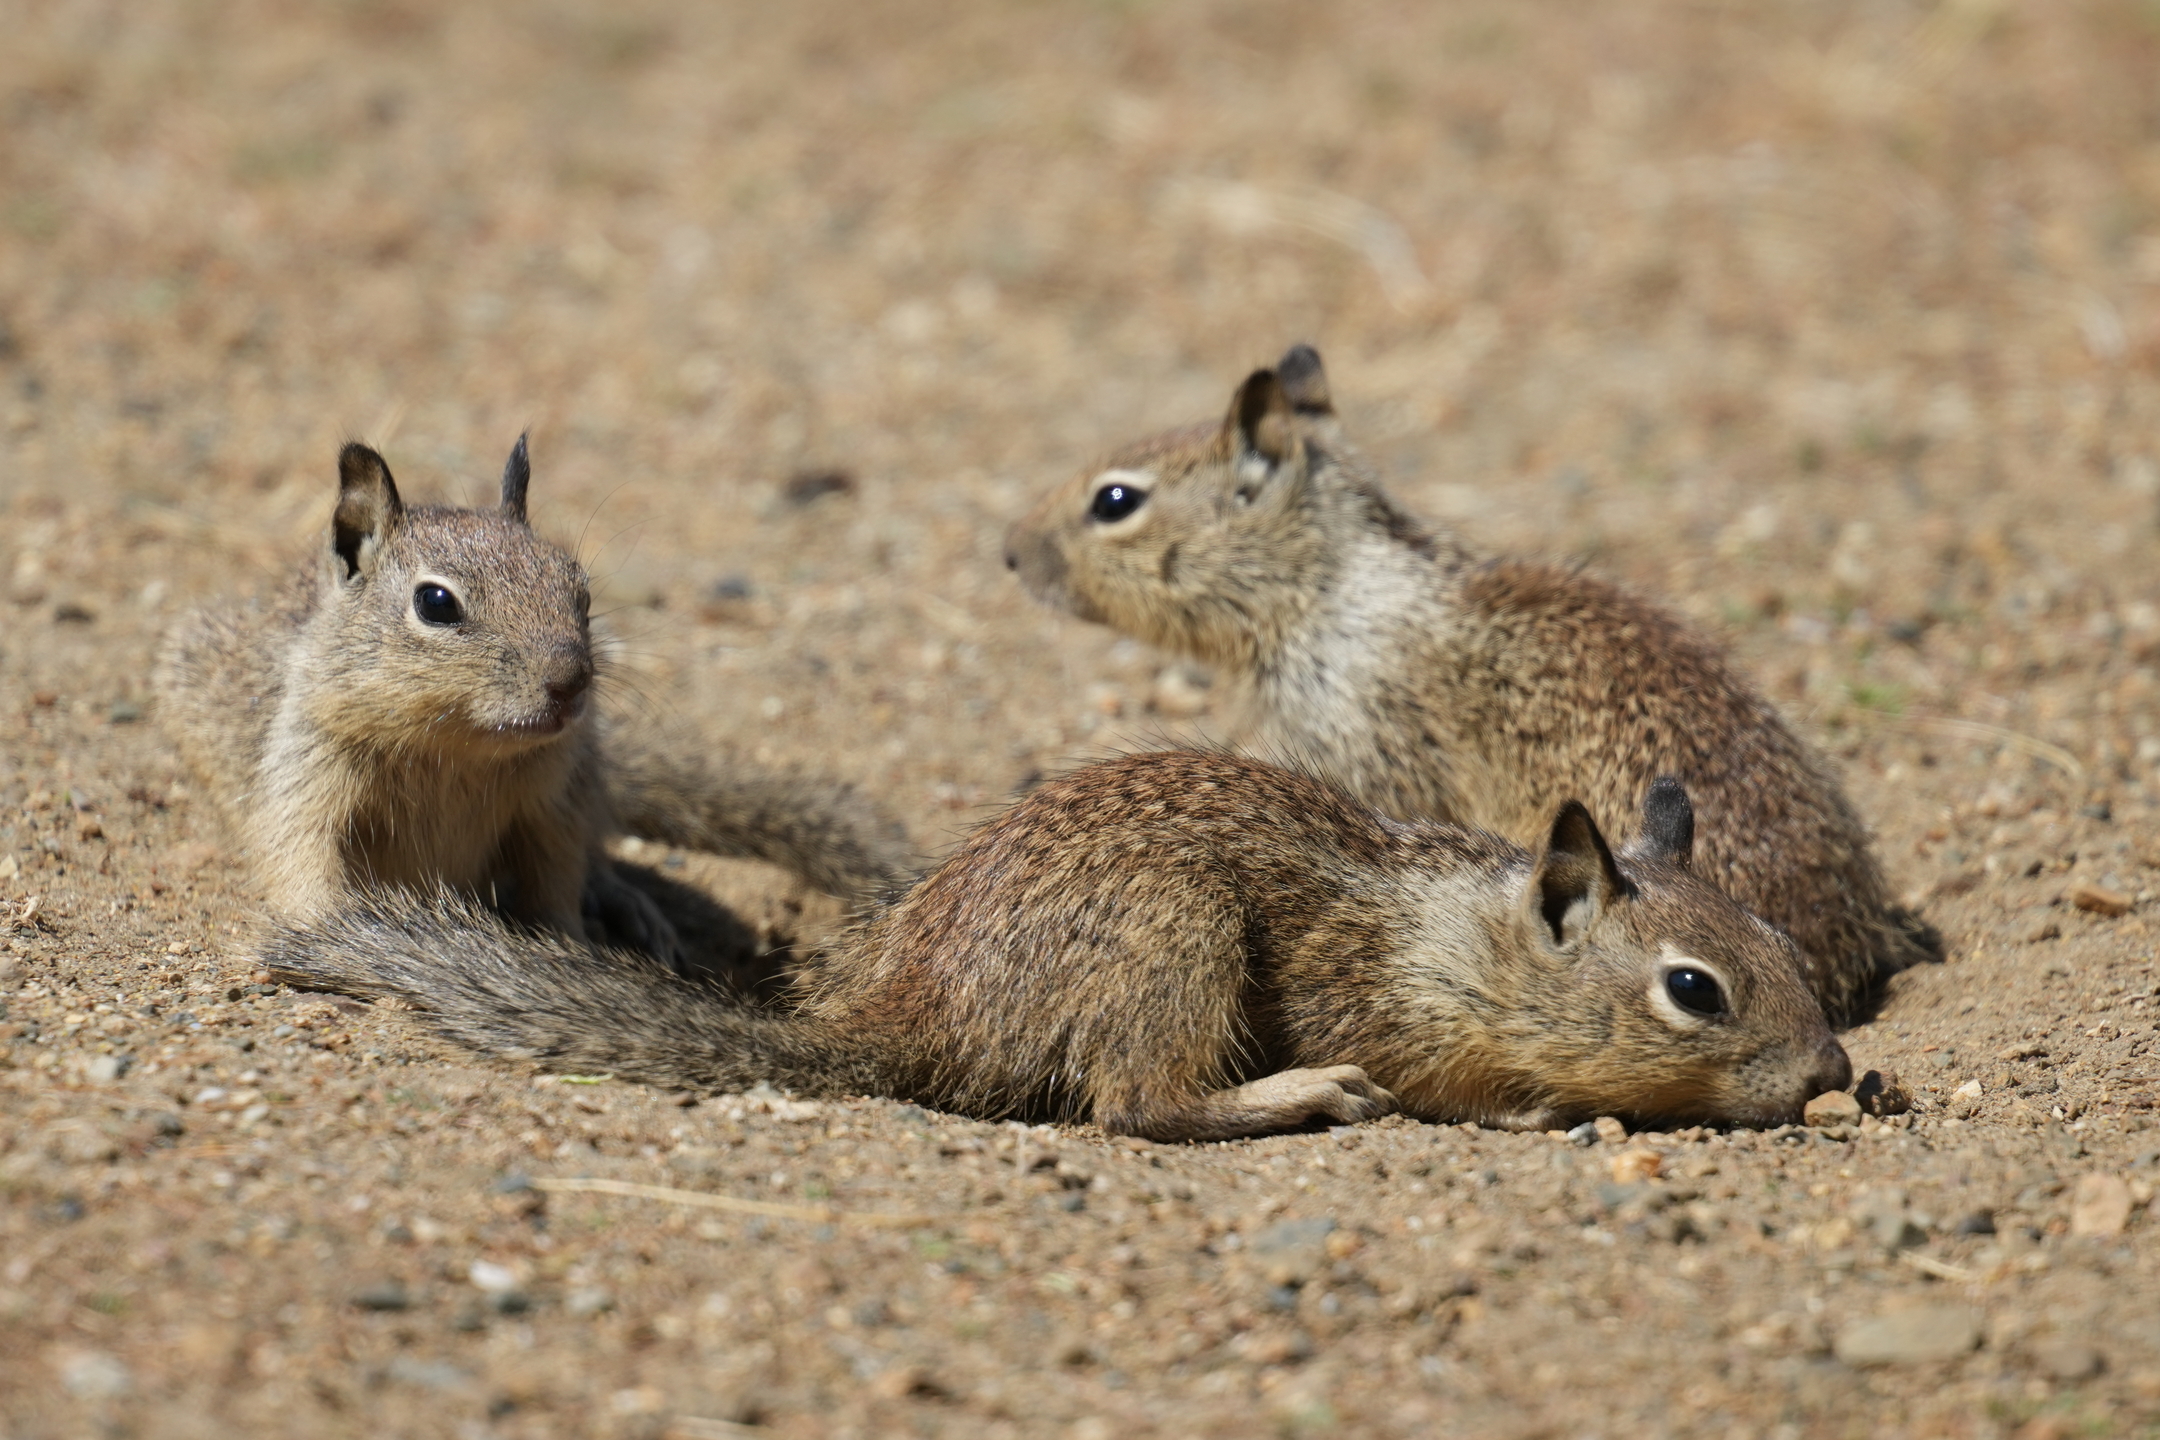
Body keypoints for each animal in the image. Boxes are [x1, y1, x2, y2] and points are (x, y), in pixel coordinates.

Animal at [154, 436, 910, 970]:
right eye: (436, 603)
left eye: (580, 589)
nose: (572, 683)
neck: (453, 748)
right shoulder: (306, 769)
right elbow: (298, 857)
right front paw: (327, 936)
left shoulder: (553, 803)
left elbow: (557, 881)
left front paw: (572, 946)